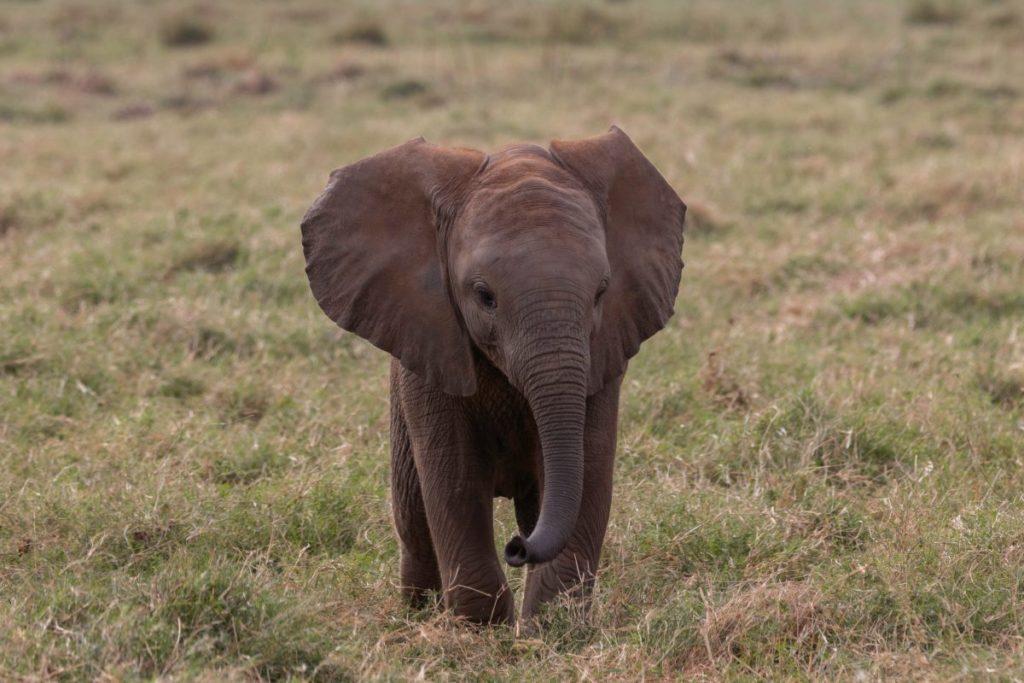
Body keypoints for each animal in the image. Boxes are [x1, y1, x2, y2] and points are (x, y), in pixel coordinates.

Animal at [300, 126, 685, 625]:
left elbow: (589, 469)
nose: (517, 549)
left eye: (602, 292)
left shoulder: (604, 352)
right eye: (484, 296)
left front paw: (553, 628)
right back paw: (418, 614)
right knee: (414, 519)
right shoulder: (429, 346)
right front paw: (483, 628)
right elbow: (454, 478)